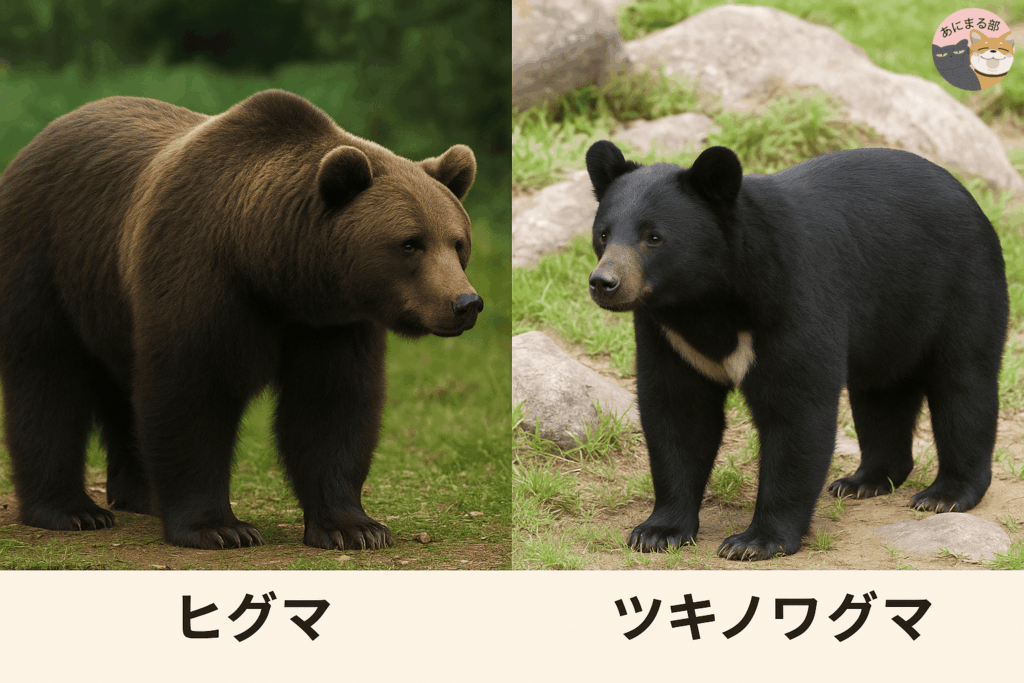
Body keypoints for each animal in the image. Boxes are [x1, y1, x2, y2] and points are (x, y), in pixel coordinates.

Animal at [0, 89, 483, 550]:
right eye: (410, 243)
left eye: (457, 242)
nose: (465, 303)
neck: (269, 266)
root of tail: (36, 141)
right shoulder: (199, 276)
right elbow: (192, 394)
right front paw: (219, 529)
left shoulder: (331, 323)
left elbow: (332, 404)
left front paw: (354, 528)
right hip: (47, 260)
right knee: (46, 380)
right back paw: (72, 510)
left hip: (108, 303)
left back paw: (140, 494)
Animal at [585, 140, 1008, 561]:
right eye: (603, 235)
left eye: (654, 237)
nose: (604, 282)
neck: (704, 300)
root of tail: (967, 196)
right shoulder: (669, 335)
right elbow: (678, 413)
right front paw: (657, 532)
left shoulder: (793, 296)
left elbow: (796, 412)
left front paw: (754, 541)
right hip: (892, 322)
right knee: (881, 393)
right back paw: (864, 480)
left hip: (962, 284)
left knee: (964, 386)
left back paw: (945, 494)